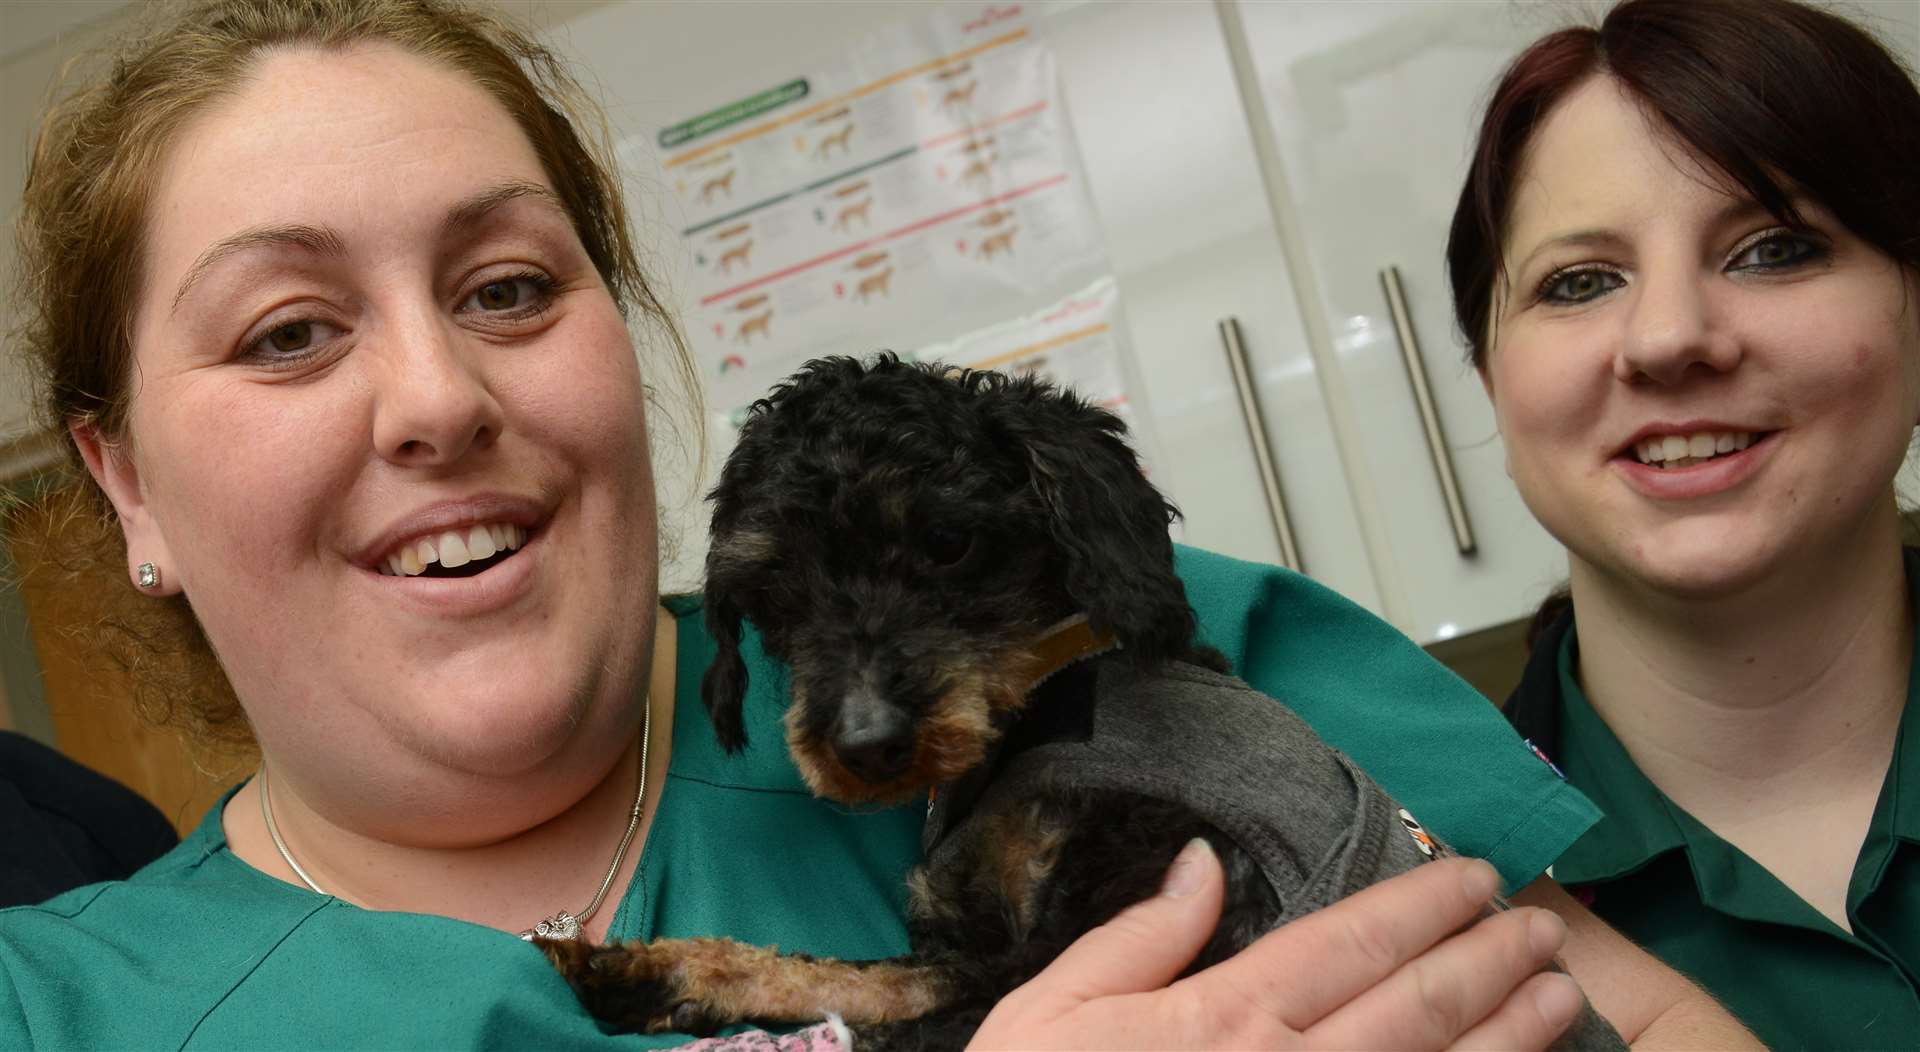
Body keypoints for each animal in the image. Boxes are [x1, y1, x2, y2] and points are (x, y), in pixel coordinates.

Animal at [545, 355, 1620, 1052]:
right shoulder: (979, 948)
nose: (866, 743)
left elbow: (897, 1014)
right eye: (772, 597)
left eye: (947, 543)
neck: (1041, 705)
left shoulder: (1140, 918)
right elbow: (856, 980)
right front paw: (659, 971)